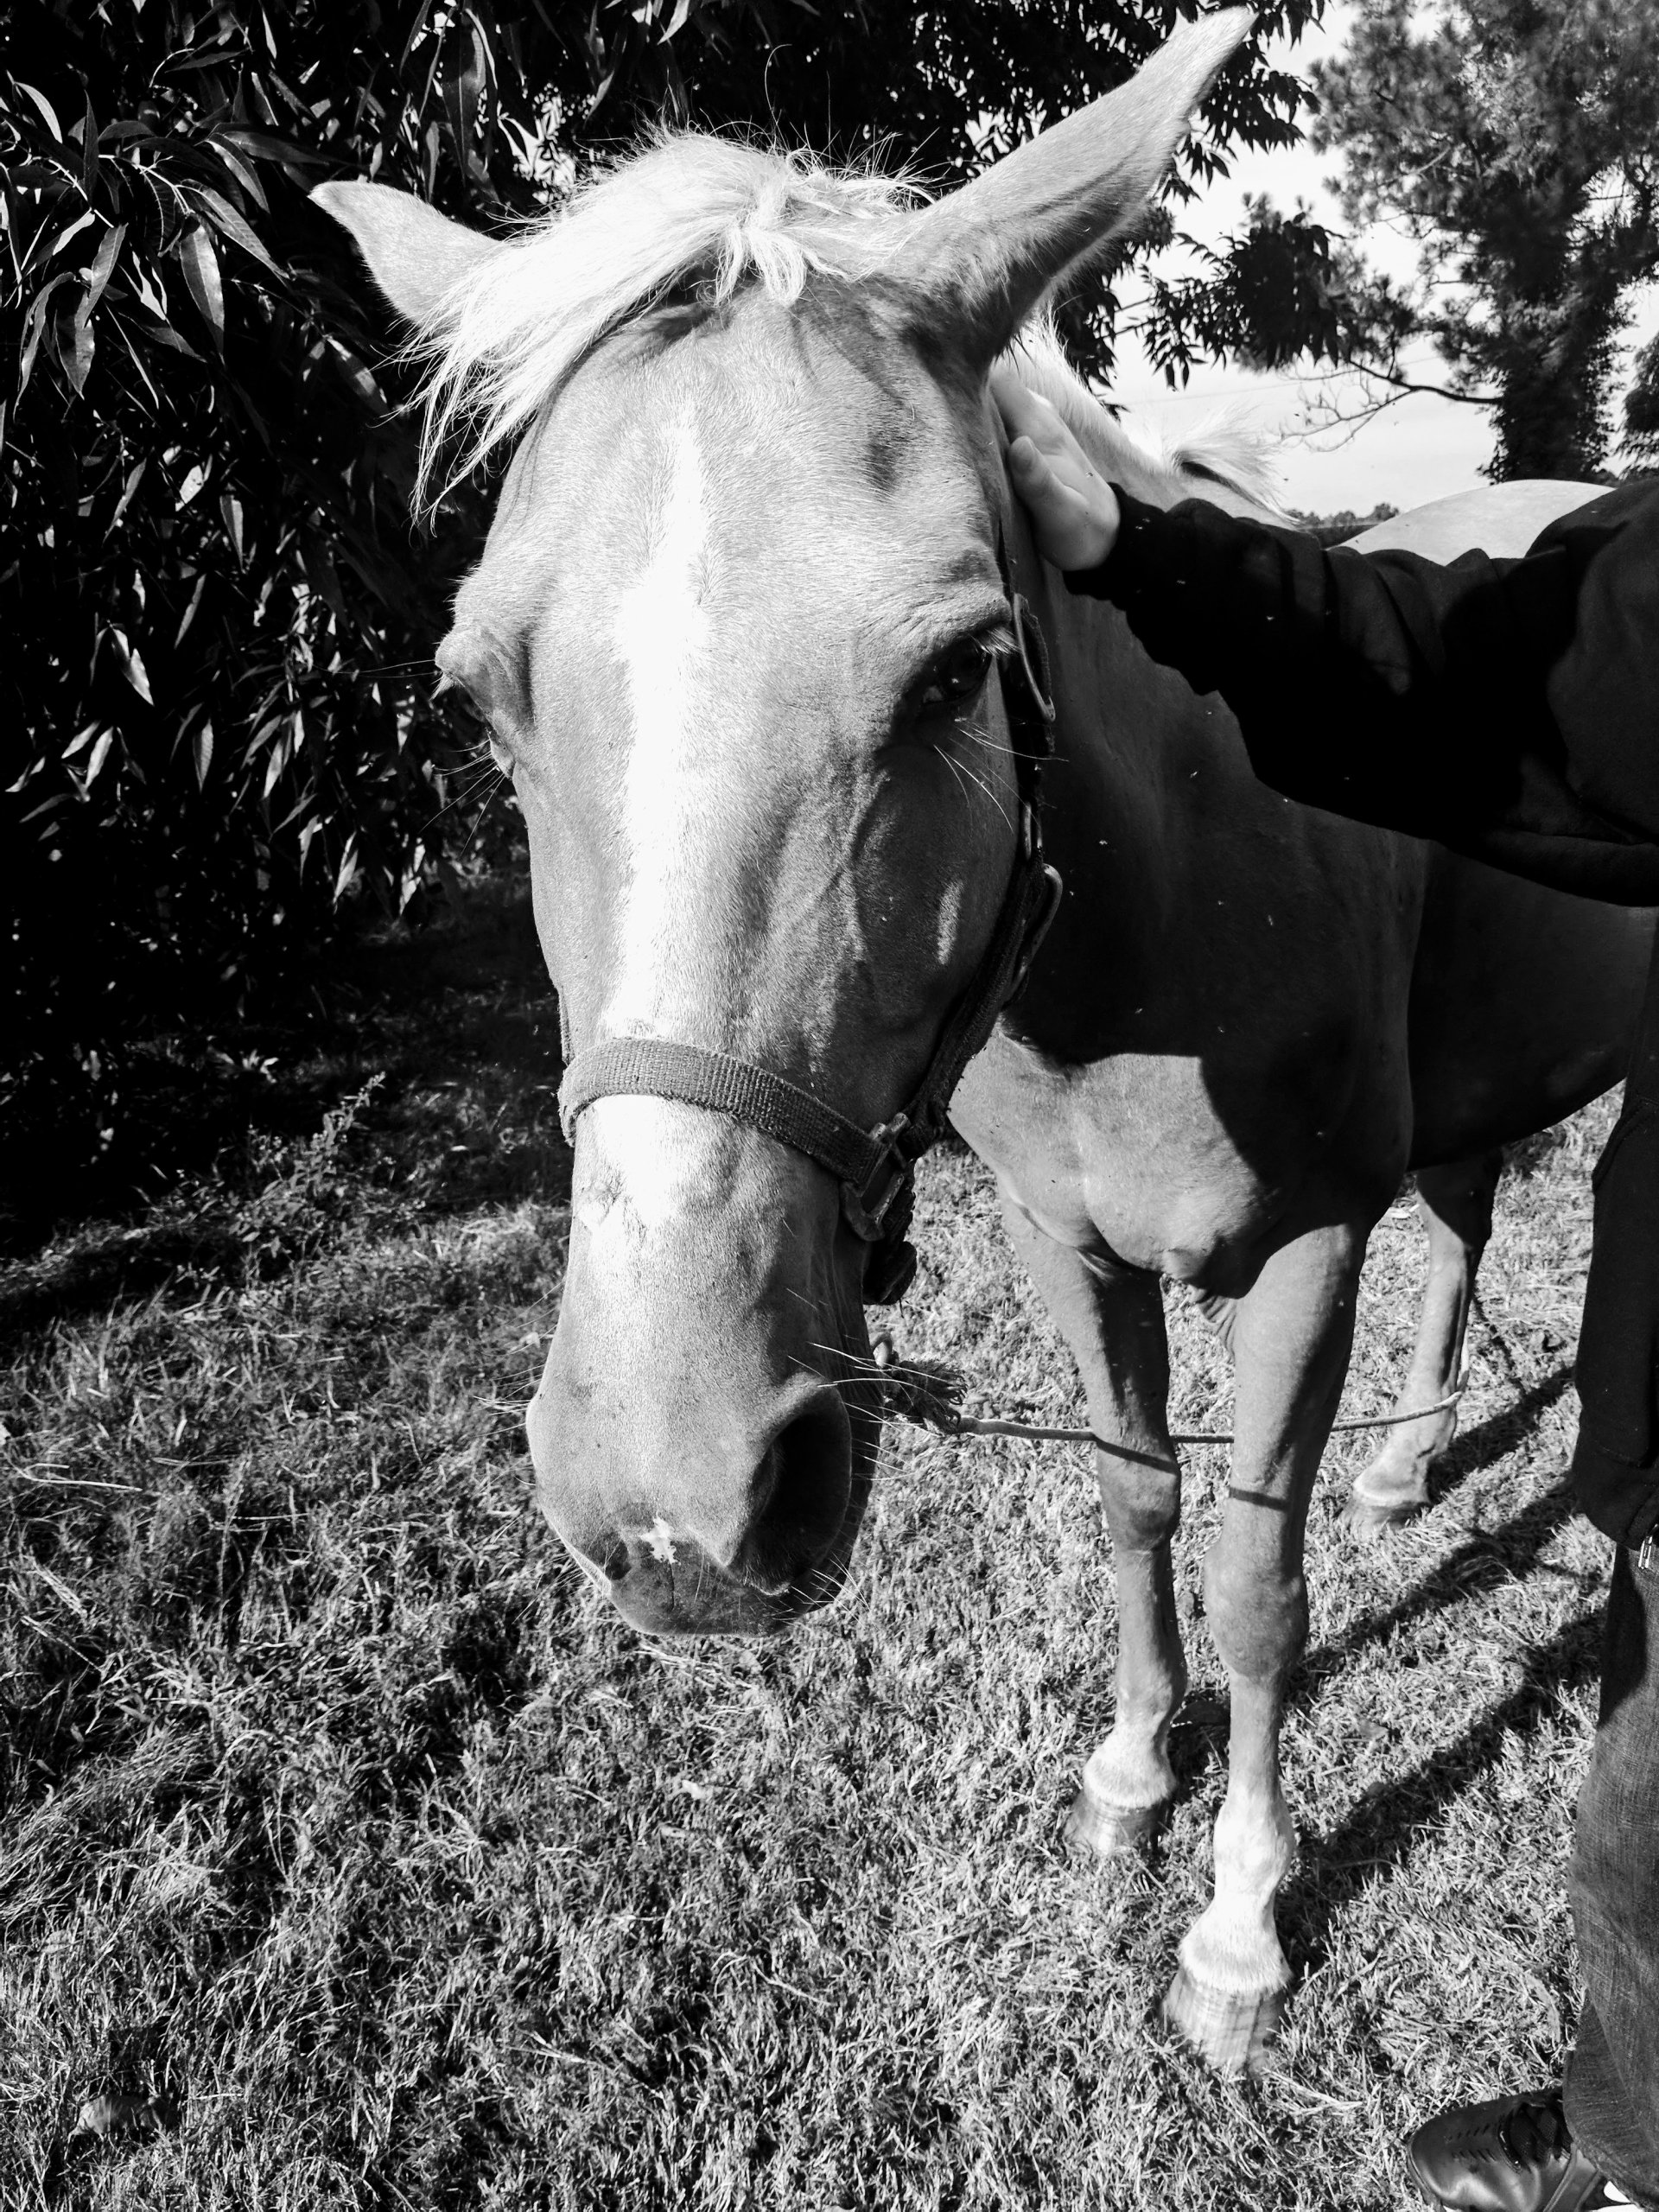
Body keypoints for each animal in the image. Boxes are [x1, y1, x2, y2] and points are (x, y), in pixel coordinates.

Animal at [315, 11, 1655, 2072]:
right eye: (485, 699)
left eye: (958, 671)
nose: (680, 1495)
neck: (1165, 918)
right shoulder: (1059, 1239)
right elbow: (1130, 1498)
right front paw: (1128, 1775)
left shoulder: (1306, 1252)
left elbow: (1257, 1577)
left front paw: (1242, 1921)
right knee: (1473, 1212)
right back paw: (1413, 1464)